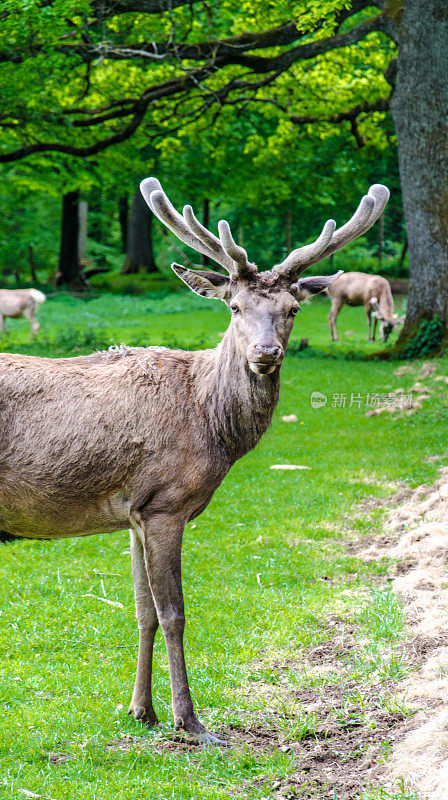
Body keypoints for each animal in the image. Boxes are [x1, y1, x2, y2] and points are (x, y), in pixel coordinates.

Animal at [0, 180, 388, 744]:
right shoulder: (166, 503)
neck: (211, 425)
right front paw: (190, 720)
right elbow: (174, 612)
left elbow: (142, 611)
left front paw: (141, 710)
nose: (266, 352)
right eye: (234, 307)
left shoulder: (134, 515)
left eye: (294, 308)